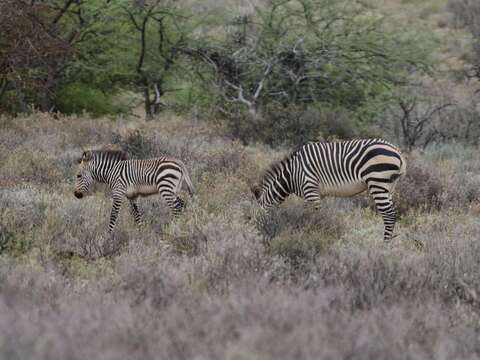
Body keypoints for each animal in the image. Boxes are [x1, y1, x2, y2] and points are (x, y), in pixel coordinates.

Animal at [251, 139, 404, 243]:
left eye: (256, 217)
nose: (257, 234)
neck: (292, 175)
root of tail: (398, 152)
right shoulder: (318, 194)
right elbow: (316, 214)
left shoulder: (310, 188)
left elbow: (313, 215)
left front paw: (312, 234)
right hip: (389, 186)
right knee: (392, 214)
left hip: (377, 182)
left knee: (389, 215)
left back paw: (385, 245)